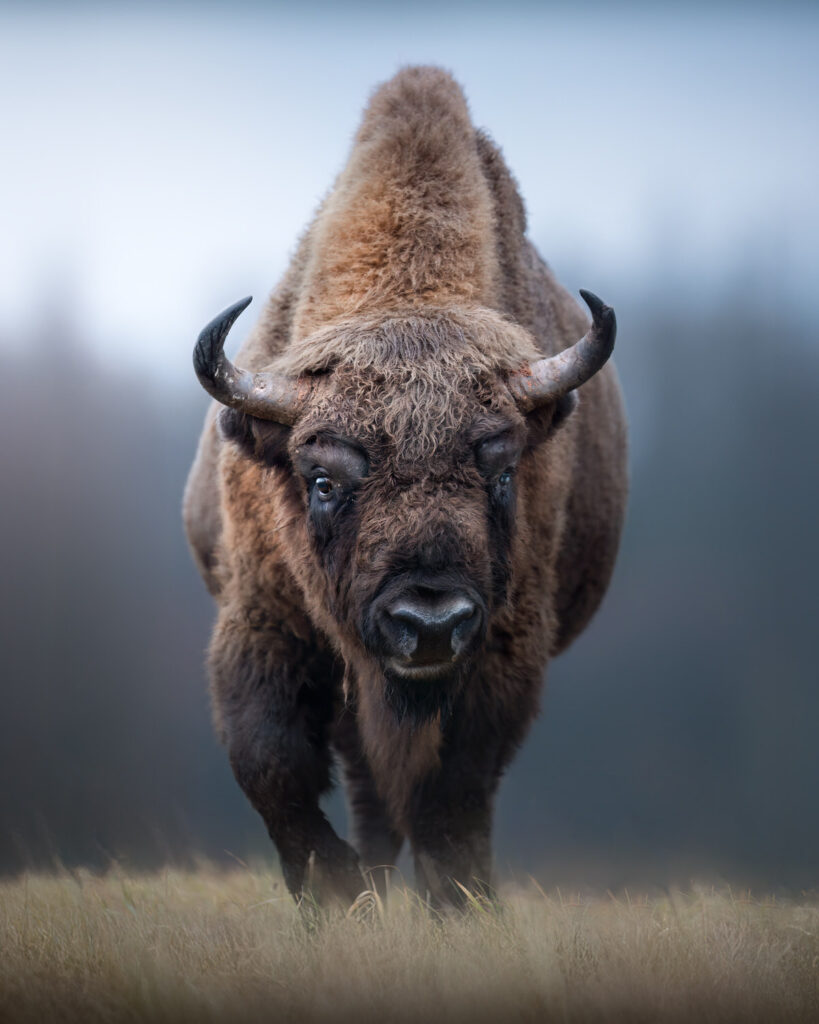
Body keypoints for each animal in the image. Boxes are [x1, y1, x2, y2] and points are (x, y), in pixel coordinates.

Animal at [184, 66, 627, 907]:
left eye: (503, 469)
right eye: (322, 478)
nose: (427, 622)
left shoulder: (501, 652)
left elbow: (451, 799)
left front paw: (459, 904)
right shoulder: (261, 620)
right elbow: (272, 766)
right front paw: (336, 896)